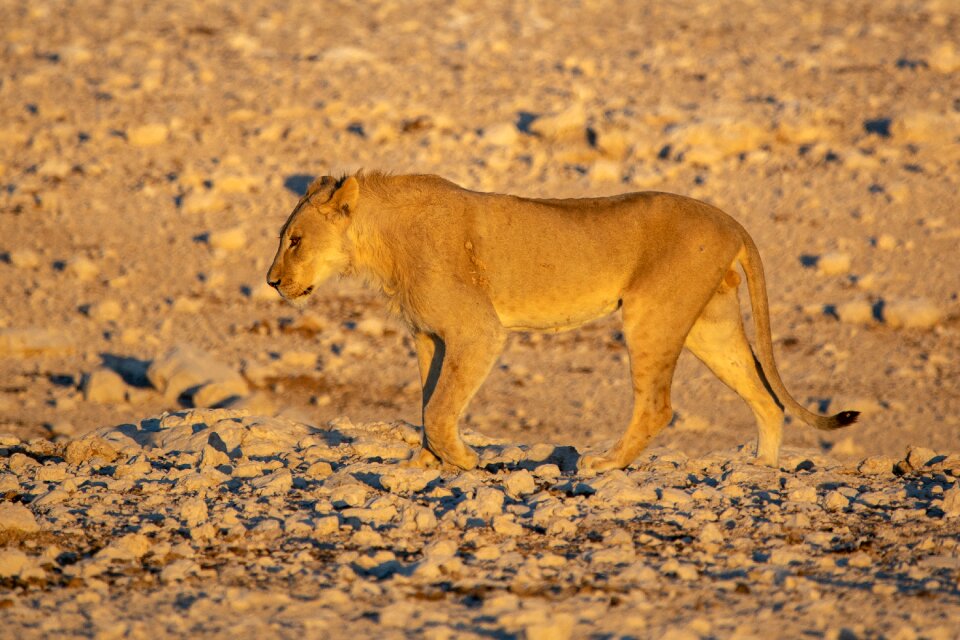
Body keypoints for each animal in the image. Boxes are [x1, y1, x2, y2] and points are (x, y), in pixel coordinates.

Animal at [266, 172, 860, 472]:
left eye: (295, 240)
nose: (271, 281)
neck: (380, 244)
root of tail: (730, 218)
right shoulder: (428, 336)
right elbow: (429, 401)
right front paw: (426, 463)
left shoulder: (478, 330)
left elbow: (438, 408)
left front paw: (466, 460)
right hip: (709, 325)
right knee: (765, 396)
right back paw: (763, 469)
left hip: (651, 315)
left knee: (658, 405)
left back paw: (604, 465)